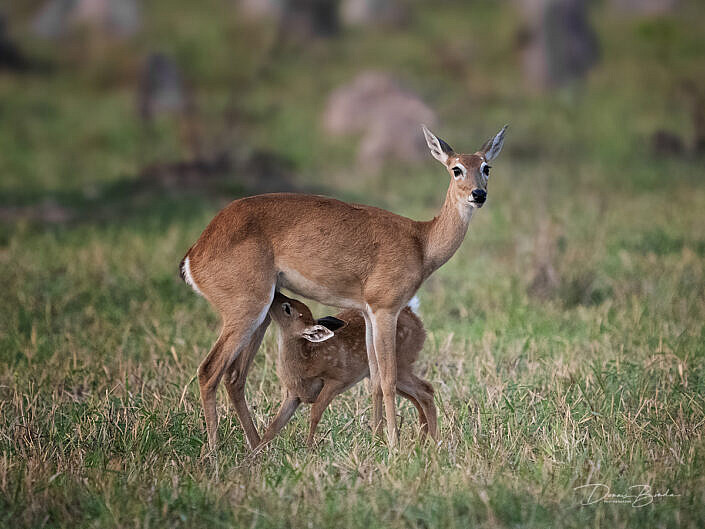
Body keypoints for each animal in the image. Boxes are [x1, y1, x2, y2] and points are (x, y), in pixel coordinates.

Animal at [179, 125, 504, 450]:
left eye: (486, 167)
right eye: (456, 168)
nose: (478, 194)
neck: (421, 243)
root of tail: (195, 254)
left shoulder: (370, 313)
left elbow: (375, 379)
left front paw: (376, 439)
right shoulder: (386, 309)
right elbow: (387, 379)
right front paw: (394, 444)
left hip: (259, 316)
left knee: (234, 377)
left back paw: (257, 447)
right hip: (247, 310)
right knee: (209, 371)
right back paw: (216, 451)